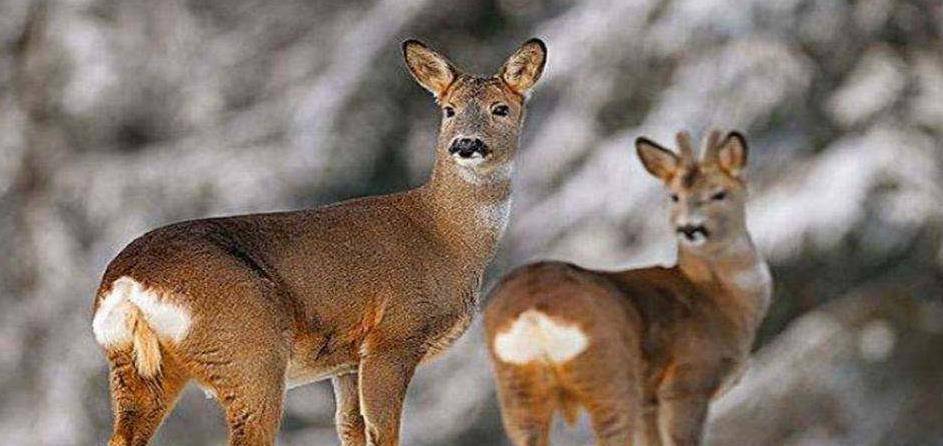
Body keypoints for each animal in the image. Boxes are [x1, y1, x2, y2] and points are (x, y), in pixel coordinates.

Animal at [90, 39, 544, 446]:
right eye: (449, 109)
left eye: (500, 108)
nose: (466, 144)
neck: (449, 238)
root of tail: (128, 282)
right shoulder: (394, 334)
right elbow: (384, 432)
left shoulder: (345, 362)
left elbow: (350, 428)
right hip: (249, 350)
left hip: (134, 366)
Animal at [486, 131, 776, 444]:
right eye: (674, 196)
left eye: (719, 193)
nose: (689, 229)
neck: (720, 298)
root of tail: (532, 312)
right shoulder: (687, 379)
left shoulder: (649, 400)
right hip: (610, 374)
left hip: (517, 392)